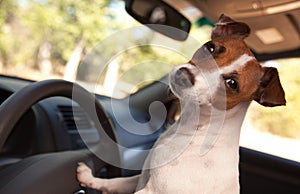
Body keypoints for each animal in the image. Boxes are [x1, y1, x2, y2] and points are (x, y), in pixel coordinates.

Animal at [76, 14, 284, 194]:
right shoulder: (142, 177)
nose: (183, 76)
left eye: (232, 84)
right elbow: (115, 182)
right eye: (210, 48)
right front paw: (90, 178)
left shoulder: (152, 191)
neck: (193, 131)